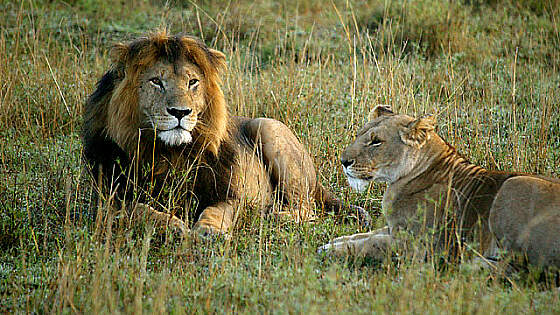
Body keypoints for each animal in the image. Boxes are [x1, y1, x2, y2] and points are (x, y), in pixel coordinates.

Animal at [83, 31, 364, 237]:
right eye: (156, 81)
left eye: (192, 82)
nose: (180, 112)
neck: (170, 152)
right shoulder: (107, 202)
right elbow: (139, 210)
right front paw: (173, 226)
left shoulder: (227, 192)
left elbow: (216, 211)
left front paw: (209, 231)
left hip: (268, 128)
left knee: (307, 209)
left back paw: (275, 215)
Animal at [320, 106, 560, 270]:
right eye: (359, 135)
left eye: (376, 141)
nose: (343, 161)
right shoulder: (395, 228)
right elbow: (364, 235)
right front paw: (332, 243)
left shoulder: (420, 246)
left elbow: (371, 243)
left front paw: (329, 250)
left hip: (513, 184)